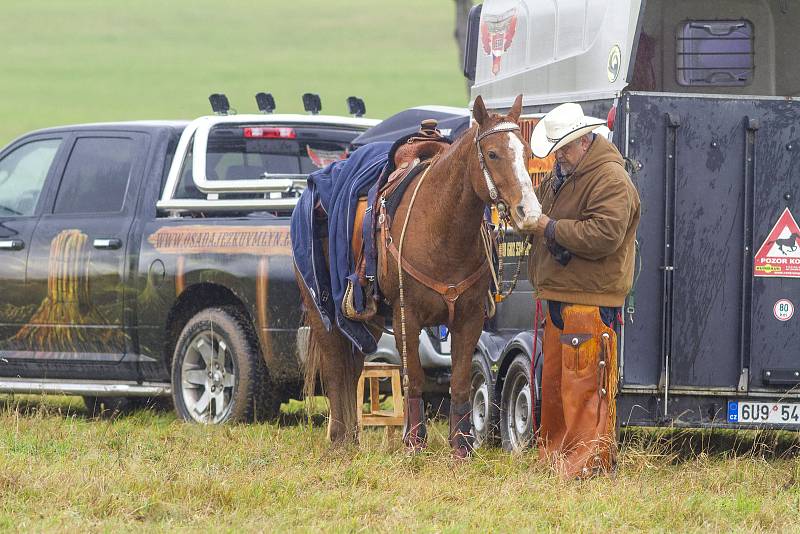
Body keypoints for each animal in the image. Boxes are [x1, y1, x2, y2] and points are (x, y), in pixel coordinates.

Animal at [296, 94, 540, 458]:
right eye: (493, 153)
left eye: (525, 152)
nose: (530, 212)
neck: (442, 227)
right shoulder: (406, 316)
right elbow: (413, 378)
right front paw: (413, 443)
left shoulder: (468, 318)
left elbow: (460, 382)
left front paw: (462, 447)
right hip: (321, 310)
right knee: (336, 368)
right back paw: (340, 441)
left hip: (365, 318)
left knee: (352, 369)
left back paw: (352, 439)